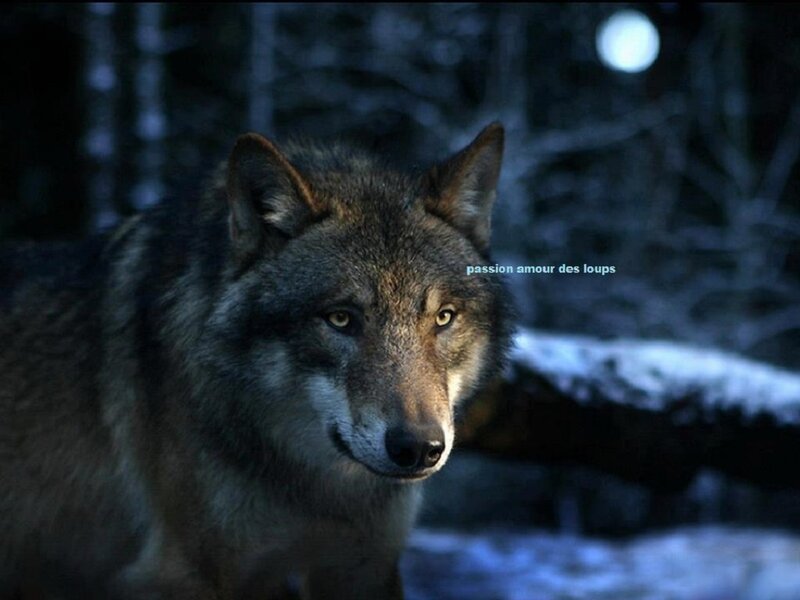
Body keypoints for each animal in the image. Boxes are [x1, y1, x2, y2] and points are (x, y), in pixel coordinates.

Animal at [0, 122, 512, 599]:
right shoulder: (182, 575)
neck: (317, 487)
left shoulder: (364, 567)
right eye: (341, 319)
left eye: (443, 318)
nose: (419, 448)